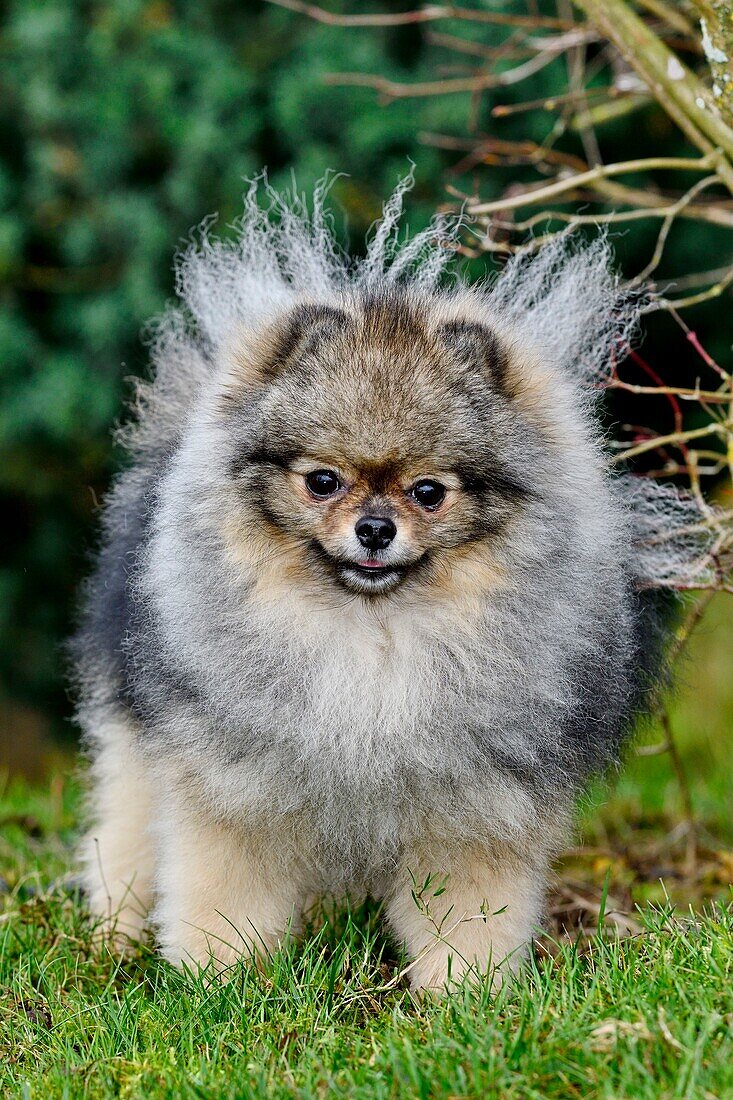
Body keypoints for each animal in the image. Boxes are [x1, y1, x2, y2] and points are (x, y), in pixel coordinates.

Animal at [75, 178, 695, 990]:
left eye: (428, 492)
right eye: (323, 481)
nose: (374, 528)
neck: (374, 640)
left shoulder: (475, 805)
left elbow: (469, 914)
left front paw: (465, 995)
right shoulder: (233, 786)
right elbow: (224, 892)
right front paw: (217, 983)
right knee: (124, 830)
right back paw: (113, 936)